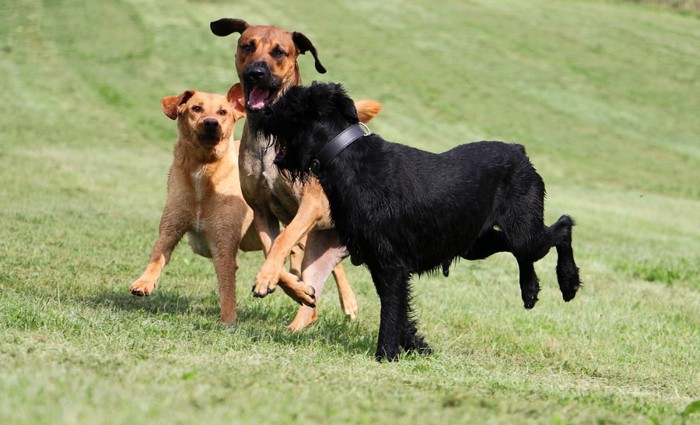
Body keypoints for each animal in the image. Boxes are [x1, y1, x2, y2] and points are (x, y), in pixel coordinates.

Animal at [131, 84, 314, 322]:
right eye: (196, 108)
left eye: (223, 112)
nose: (211, 123)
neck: (204, 170)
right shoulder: (171, 227)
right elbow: (158, 254)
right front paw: (144, 282)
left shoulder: (224, 242)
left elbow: (228, 287)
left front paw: (228, 321)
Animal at [211, 18, 380, 330]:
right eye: (247, 46)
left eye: (279, 52)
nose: (256, 73)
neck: (269, 134)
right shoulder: (262, 211)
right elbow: (273, 250)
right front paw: (293, 288)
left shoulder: (311, 204)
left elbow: (282, 241)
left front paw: (266, 278)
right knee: (312, 286)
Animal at [258, 81, 580, 360]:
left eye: (288, 102)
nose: (260, 110)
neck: (346, 157)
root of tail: (519, 152)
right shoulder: (381, 265)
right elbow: (400, 312)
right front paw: (417, 345)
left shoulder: (391, 266)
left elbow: (391, 312)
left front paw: (386, 355)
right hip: (477, 243)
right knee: (519, 249)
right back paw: (530, 289)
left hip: (524, 232)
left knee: (562, 228)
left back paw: (568, 283)